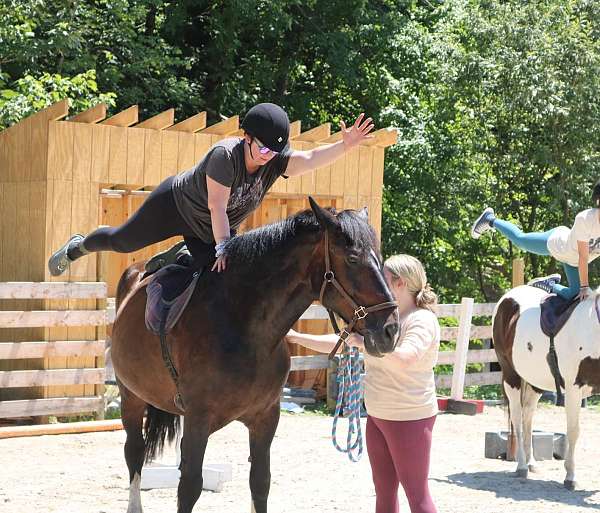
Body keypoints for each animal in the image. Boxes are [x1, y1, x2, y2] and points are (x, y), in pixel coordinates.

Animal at [110, 197, 400, 512]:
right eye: (352, 259)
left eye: (379, 258)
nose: (390, 330)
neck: (244, 325)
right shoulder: (198, 419)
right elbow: (189, 487)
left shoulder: (266, 418)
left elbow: (260, 483)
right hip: (131, 396)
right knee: (135, 452)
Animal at [492, 284, 600, 488]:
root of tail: (507, 298)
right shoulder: (574, 388)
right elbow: (573, 431)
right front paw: (570, 477)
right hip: (511, 376)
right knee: (517, 419)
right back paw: (522, 466)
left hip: (535, 382)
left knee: (528, 416)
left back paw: (531, 462)